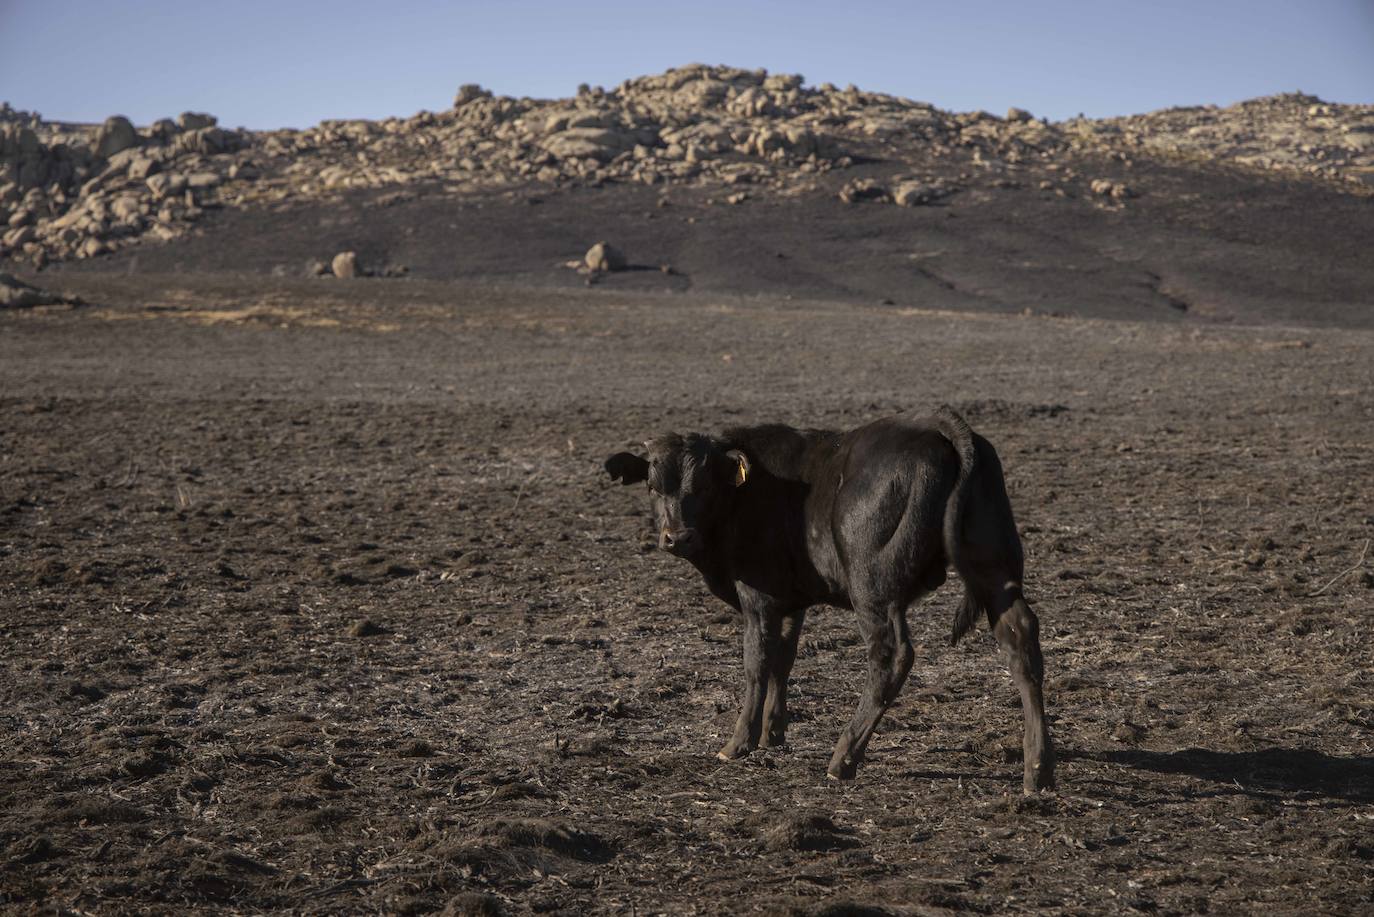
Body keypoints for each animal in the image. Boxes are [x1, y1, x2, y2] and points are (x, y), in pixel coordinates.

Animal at [607, 404, 1055, 791]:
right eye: (652, 486)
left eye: (702, 485)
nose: (678, 537)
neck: (746, 493)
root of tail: (935, 425)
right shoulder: (790, 602)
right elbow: (783, 660)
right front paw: (773, 732)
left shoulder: (758, 599)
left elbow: (757, 664)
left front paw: (739, 743)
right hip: (993, 572)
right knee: (1021, 641)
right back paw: (1038, 769)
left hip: (874, 590)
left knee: (891, 657)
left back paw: (843, 757)